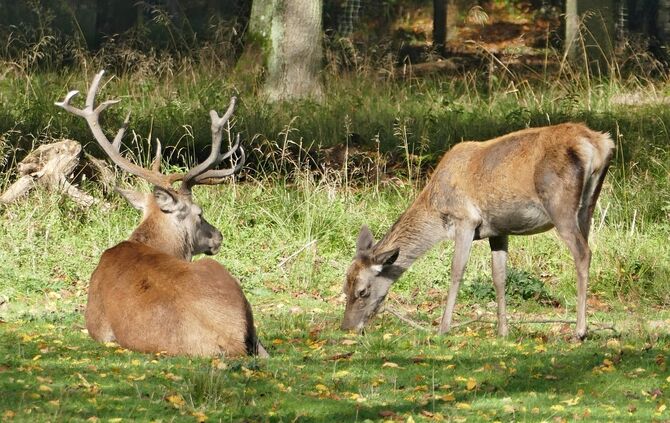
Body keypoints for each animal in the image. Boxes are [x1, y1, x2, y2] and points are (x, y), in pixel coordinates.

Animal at [341, 123, 614, 340]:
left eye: (363, 291)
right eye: (345, 288)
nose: (347, 327)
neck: (436, 208)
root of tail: (599, 144)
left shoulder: (465, 219)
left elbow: (456, 271)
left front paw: (443, 328)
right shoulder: (498, 230)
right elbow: (499, 276)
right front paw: (503, 331)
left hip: (560, 204)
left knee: (583, 253)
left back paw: (579, 331)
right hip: (588, 205)